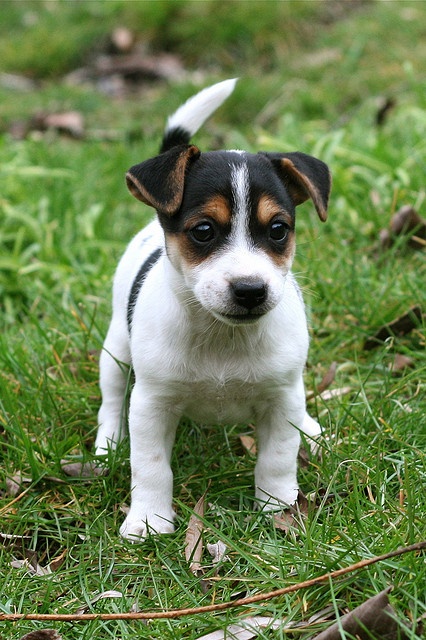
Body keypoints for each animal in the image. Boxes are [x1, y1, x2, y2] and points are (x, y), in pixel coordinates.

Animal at [95, 80, 332, 540]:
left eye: (279, 230)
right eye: (203, 230)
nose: (250, 290)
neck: (222, 337)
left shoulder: (281, 399)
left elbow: (277, 458)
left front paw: (277, 507)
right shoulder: (151, 405)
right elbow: (150, 467)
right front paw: (149, 520)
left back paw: (311, 429)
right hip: (116, 350)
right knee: (112, 397)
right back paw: (107, 442)